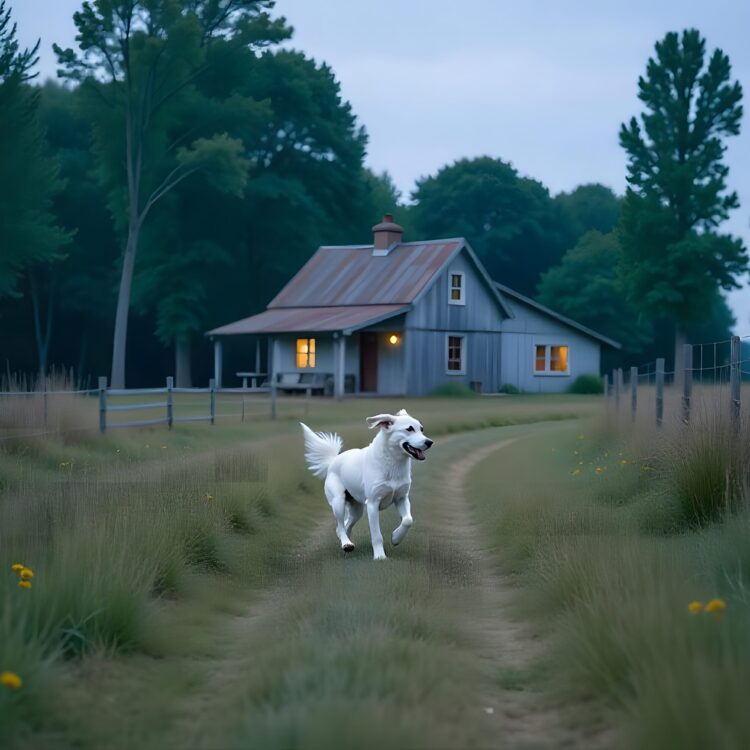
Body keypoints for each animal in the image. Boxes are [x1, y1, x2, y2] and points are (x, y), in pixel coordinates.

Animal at [302, 412, 434, 564]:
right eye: (409, 429)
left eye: (421, 429)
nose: (429, 442)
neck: (393, 463)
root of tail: (332, 461)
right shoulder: (372, 504)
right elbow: (377, 535)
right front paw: (380, 556)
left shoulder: (401, 498)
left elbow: (407, 520)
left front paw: (395, 538)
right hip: (338, 502)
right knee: (340, 525)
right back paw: (346, 544)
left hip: (357, 510)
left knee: (343, 526)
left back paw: (347, 544)